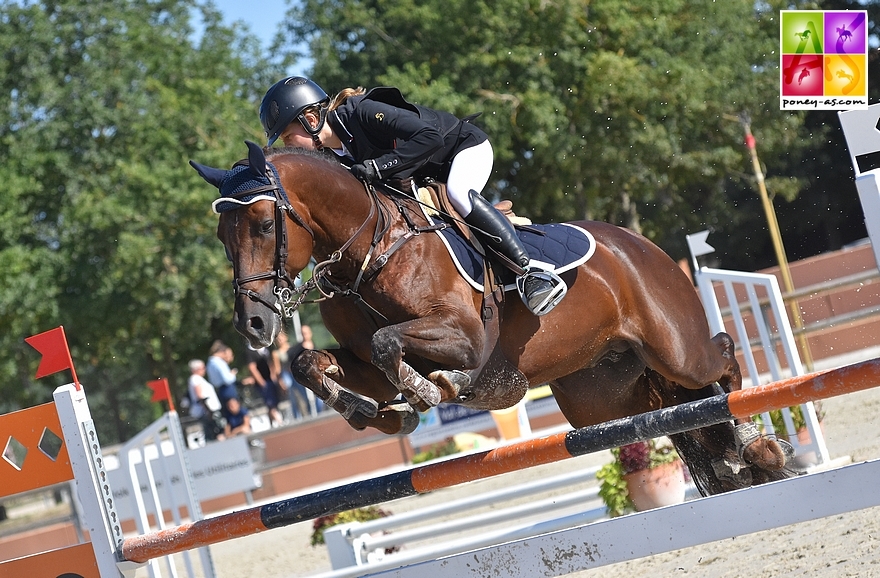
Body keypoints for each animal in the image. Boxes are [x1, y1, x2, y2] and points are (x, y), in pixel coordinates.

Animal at [194, 141, 796, 496]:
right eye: (222, 235)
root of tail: (643, 247)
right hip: (603, 395)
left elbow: (393, 345)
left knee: (722, 356)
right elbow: (311, 362)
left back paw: (756, 447)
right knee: (676, 411)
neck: (372, 245)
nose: (252, 326)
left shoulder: (465, 338)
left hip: (676, 351)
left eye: (263, 226)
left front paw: (434, 389)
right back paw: (741, 460)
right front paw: (376, 416)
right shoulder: (361, 360)